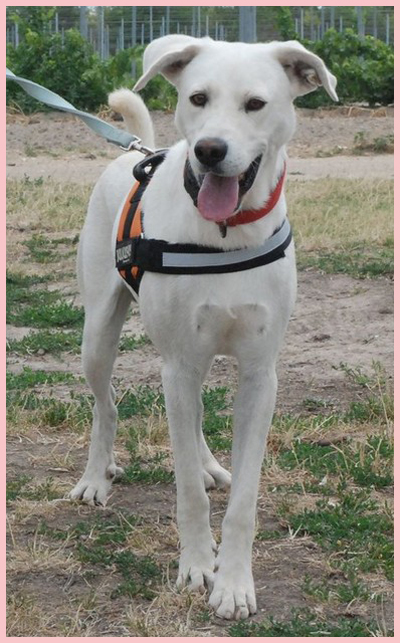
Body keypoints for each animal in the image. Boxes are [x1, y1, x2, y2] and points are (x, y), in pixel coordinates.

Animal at [70, 35, 337, 620]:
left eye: (255, 104)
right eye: (197, 97)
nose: (210, 150)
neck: (225, 233)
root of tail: (134, 153)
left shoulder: (260, 375)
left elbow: (243, 499)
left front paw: (234, 582)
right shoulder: (178, 364)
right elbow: (186, 488)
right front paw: (196, 566)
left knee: (189, 424)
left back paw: (213, 465)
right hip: (99, 336)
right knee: (107, 407)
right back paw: (96, 478)